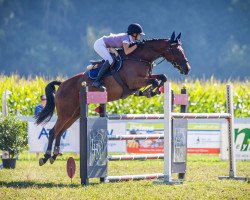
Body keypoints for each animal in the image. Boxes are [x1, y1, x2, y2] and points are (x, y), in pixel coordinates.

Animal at [35, 31, 191, 166]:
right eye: (177, 50)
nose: (187, 68)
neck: (140, 57)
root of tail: (62, 84)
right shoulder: (134, 81)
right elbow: (155, 80)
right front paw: (149, 91)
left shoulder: (144, 78)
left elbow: (162, 77)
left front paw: (150, 92)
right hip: (66, 112)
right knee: (53, 131)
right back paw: (46, 157)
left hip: (74, 114)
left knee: (60, 132)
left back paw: (54, 155)